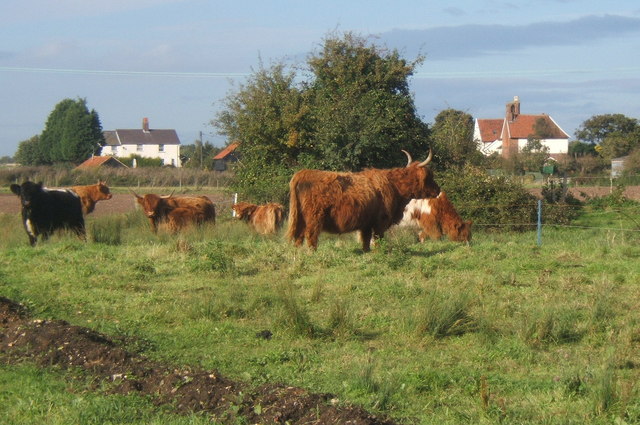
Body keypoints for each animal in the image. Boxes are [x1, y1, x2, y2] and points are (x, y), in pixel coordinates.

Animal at [288, 149, 440, 250]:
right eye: (430, 176)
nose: (438, 190)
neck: (395, 186)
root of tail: (303, 173)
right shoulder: (380, 221)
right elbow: (378, 238)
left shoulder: (366, 223)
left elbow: (365, 240)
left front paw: (366, 252)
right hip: (314, 218)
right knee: (310, 236)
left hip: (300, 218)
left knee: (298, 237)